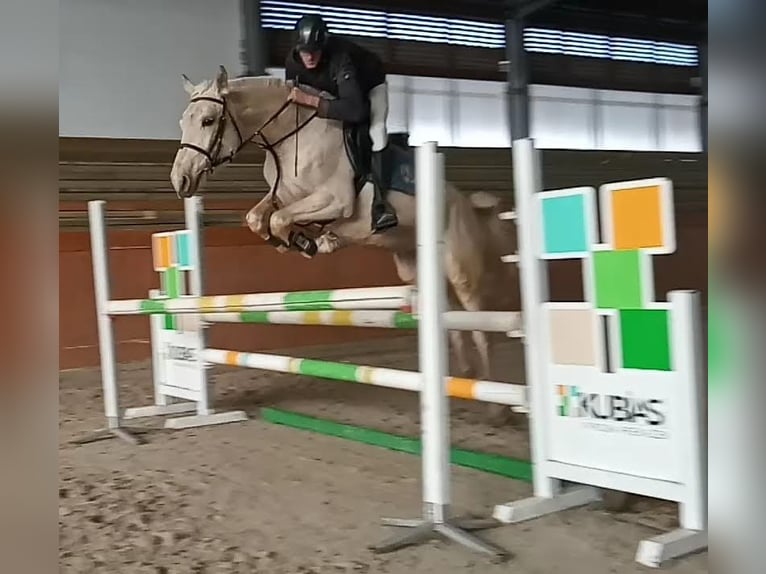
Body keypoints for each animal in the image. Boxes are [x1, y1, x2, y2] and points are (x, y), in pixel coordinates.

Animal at [169, 66, 521, 422]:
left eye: (208, 120)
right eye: (184, 121)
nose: (180, 180)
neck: (291, 137)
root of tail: (465, 203)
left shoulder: (333, 201)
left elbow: (281, 219)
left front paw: (303, 241)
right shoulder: (282, 195)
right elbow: (258, 217)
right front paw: (296, 241)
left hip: (462, 272)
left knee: (480, 329)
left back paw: (495, 405)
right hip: (417, 269)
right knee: (455, 326)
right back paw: (462, 381)